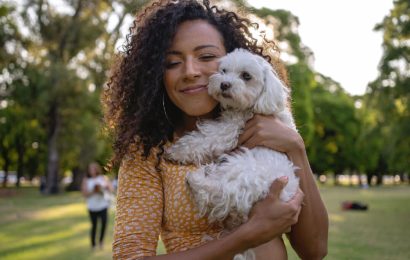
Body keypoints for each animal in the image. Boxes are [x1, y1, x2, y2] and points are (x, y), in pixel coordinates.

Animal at [165, 48, 300, 260]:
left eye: (246, 76)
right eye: (224, 70)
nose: (224, 84)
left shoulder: (230, 128)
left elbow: (204, 138)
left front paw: (176, 151)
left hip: (242, 169)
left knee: (215, 191)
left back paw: (198, 177)